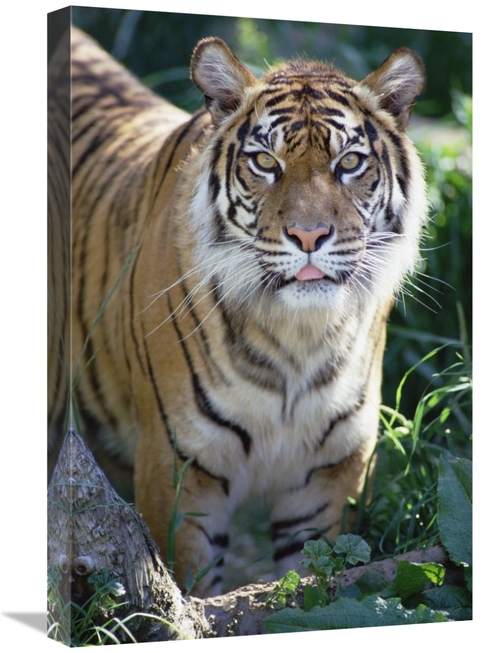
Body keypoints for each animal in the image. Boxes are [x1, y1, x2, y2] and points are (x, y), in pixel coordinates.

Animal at [61, 26, 427, 597]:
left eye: (349, 163)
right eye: (265, 163)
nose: (309, 236)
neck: (298, 338)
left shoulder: (330, 477)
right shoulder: (179, 470)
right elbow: (191, 589)